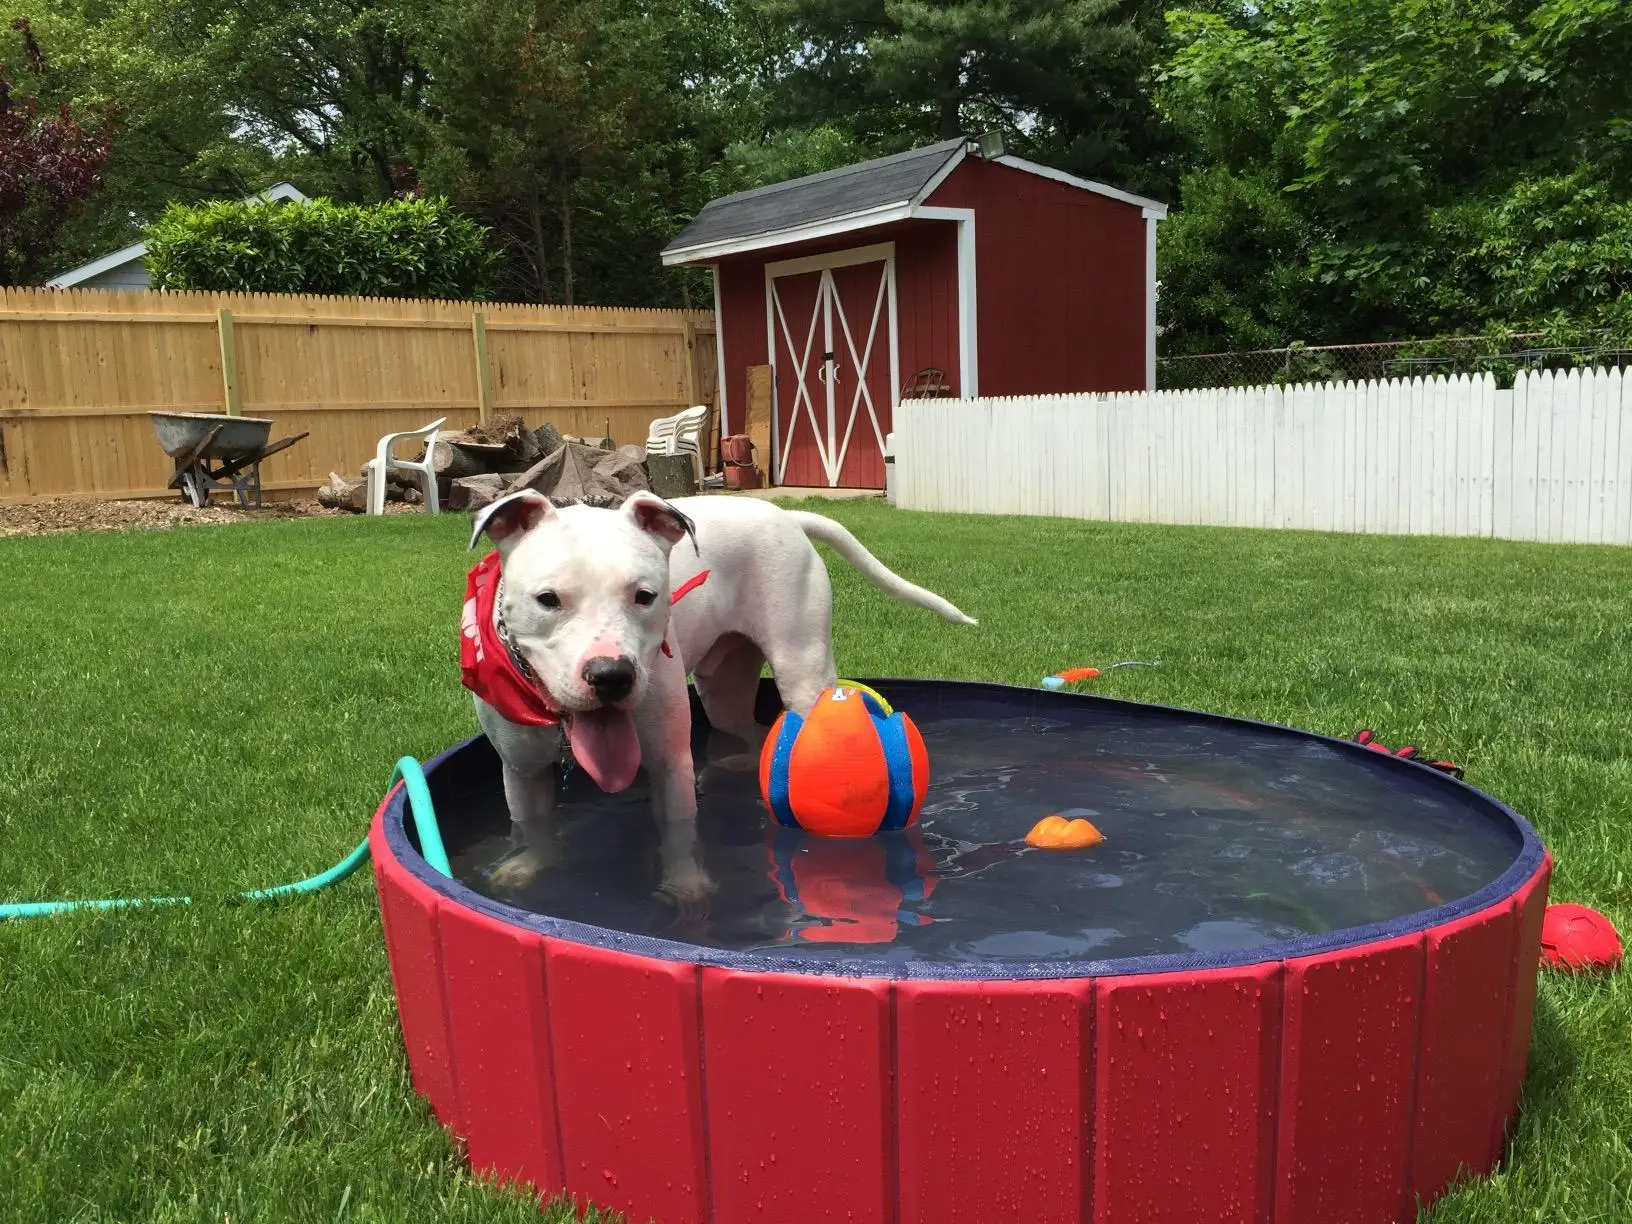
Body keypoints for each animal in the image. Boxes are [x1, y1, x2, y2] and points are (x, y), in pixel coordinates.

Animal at [460, 492, 972, 913]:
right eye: (548, 599)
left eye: (645, 596)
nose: (611, 675)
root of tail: (785, 514)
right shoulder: (521, 770)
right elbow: (531, 826)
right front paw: (526, 867)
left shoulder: (670, 761)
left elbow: (679, 832)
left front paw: (686, 886)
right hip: (721, 688)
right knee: (753, 732)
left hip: (803, 673)